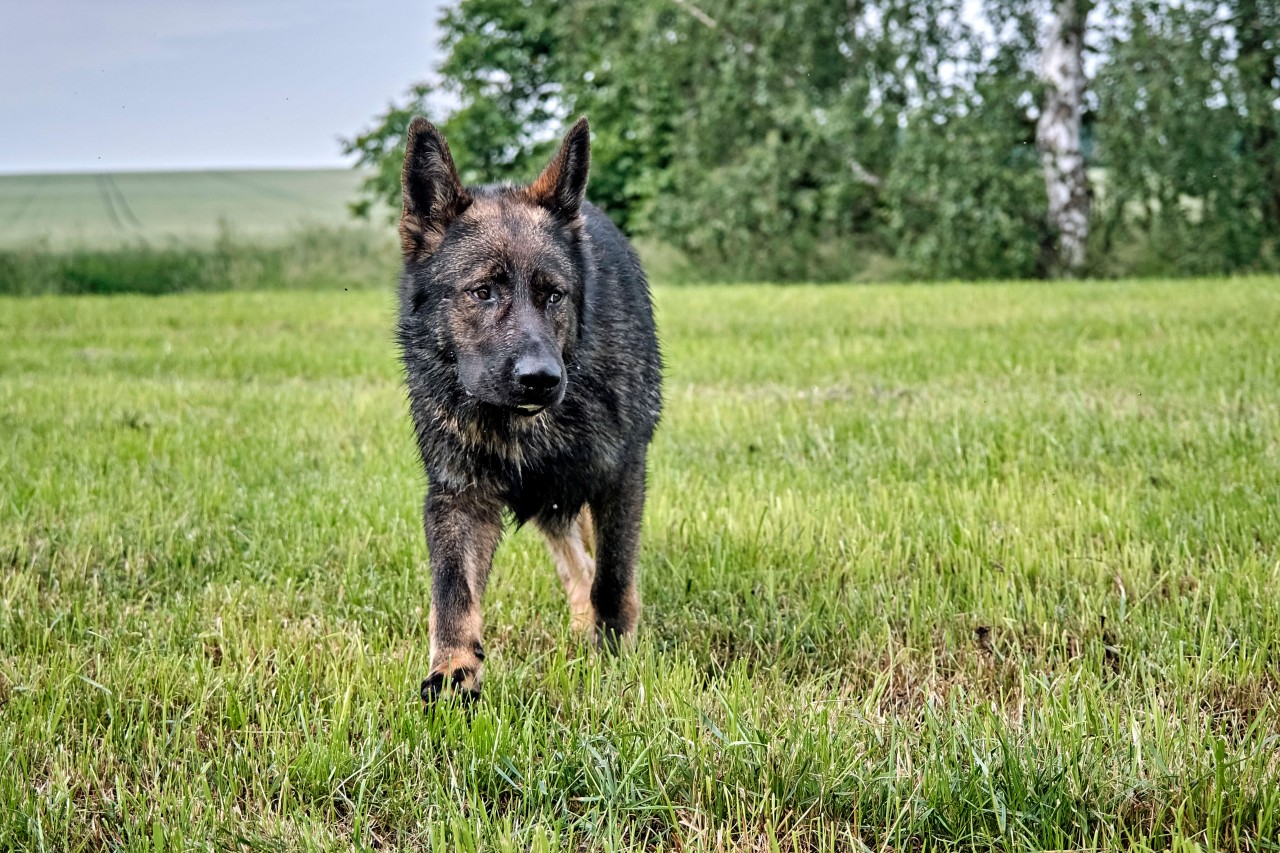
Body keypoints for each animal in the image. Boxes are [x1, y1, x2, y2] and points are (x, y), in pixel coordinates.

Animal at [396, 116, 660, 701]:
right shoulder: (459, 496)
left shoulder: (620, 476)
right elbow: (452, 591)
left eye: (553, 295)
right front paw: (453, 673)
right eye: (483, 291)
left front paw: (614, 657)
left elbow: (613, 577)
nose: (540, 379)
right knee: (573, 564)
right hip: (552, 501)